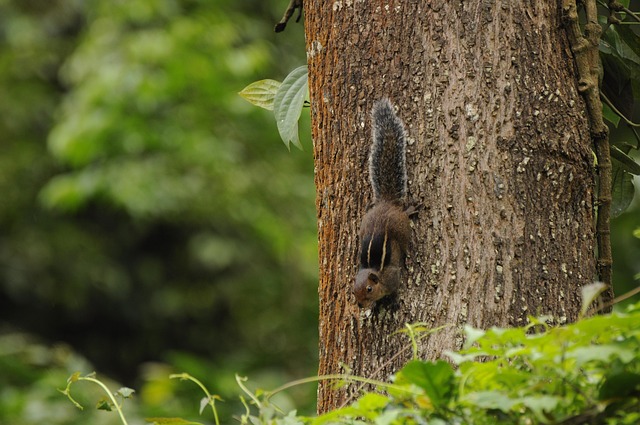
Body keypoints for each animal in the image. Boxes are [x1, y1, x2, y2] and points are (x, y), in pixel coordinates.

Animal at [353, 98, 412, 309]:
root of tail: (386, 203)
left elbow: (395, 288)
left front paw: (392, 301)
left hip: (402, 228)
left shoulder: (392, 276)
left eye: (369, 289)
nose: (360, 305)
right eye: (353, 291)